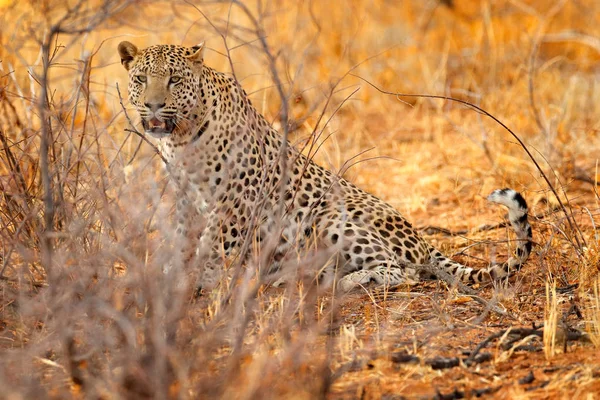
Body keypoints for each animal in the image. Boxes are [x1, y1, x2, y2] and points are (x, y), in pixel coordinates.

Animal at [117, 41, 536, 294]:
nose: (153, 106)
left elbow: (215, 246)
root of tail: (421, 239)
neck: (183, 136)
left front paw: (199, 282)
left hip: (330, 216)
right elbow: (184, 240)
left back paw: (343, 281)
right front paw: (170, 277)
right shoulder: (187, 199)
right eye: (140, 79)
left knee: (402, 271)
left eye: (174, 79)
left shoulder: (236, 199)